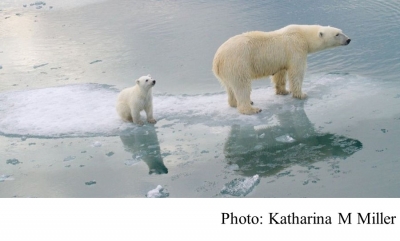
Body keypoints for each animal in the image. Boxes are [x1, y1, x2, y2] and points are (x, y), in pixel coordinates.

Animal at [212, 25, 350, 115]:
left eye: (341, 31)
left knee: (230, 87)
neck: (303, 35)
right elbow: (296, 72)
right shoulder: (296, 49)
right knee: (242, 85)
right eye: (337, 34)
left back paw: (234, 103)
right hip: (238, 63)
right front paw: (301, 94)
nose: (349, 39)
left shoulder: (281, 59)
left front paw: (283, 91)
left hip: (227, 71)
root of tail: (217, 59)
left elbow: (280, 74)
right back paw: (251, 108)